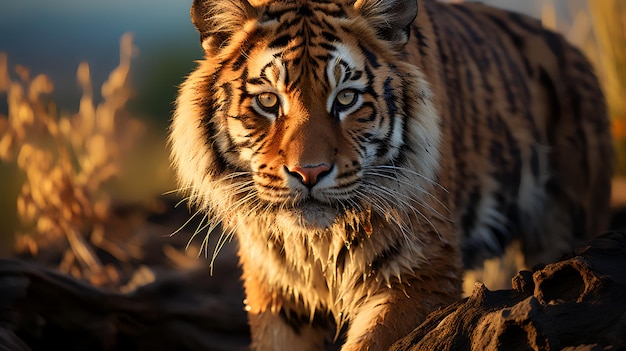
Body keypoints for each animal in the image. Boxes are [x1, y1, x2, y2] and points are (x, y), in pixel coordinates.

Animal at [168, 0, 612, 351]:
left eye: (346, 98)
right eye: (267, 101)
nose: (309, 172)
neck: (317, 241)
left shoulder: (420, 274)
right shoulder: (276, 290)